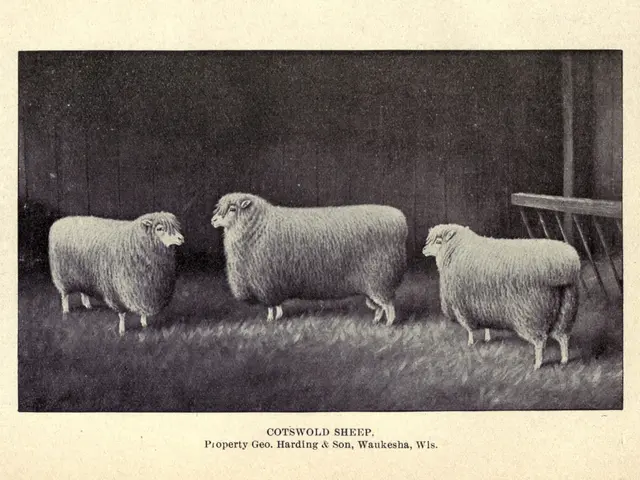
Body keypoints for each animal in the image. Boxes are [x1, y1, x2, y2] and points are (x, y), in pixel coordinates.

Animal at [48, 212, 185, 335]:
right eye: (159, 228)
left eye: (175, 227)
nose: (181, 238)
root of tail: (60, 221)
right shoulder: (118, 290)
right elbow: (122, 314)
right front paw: (122, 331)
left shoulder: (144, 290)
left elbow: (142, 310)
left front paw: (144, 323)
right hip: (62, 275)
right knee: (64, 295)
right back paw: (66, 311)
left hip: (82, 274)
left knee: (83, 291)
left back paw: (87, 305)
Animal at [211, 192, 408, 325]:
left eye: (232, 209)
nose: (213, 220)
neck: (259, 227)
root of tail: (400, 219)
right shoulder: (267, 283)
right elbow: (273, 306)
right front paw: (274, 318)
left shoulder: (267, 283)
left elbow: (272, 306)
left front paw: (272, 320)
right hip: (372, 284)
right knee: (380, 306)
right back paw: (376, 321)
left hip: (380, 277)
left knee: (388, 305)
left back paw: (389, 324)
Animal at [422, 224, 580, 370]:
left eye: (438, 241)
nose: (423, 250)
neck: (457, 249)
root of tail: (564, 266)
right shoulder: (482, 304)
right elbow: (485, 324)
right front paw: (487, 338)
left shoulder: (463, 305)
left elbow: (469, 329)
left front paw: (470, 343)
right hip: (566, 311)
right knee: (563, 338)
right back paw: (564, 360)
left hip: (533, 314)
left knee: (540, 342)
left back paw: (538, 364)